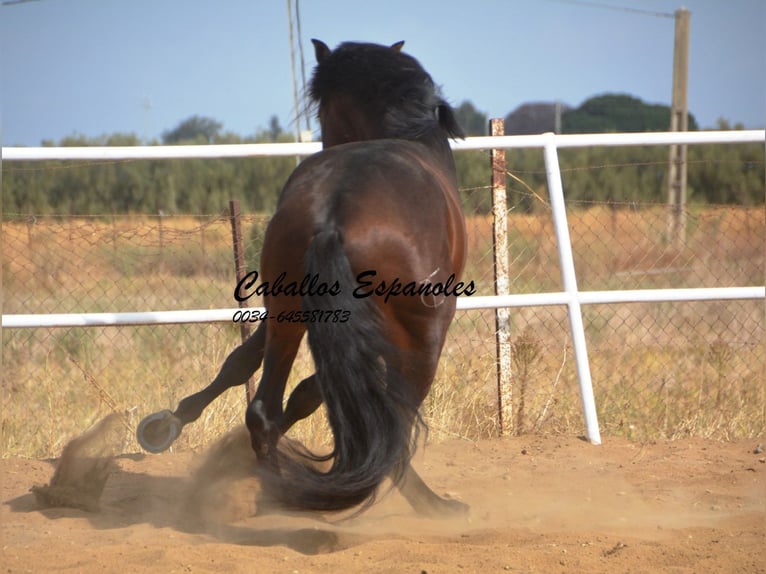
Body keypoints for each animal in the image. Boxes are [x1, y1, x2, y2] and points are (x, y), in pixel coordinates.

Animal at [140, 40, 474, 516]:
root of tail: (335, 212)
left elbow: (243, 362)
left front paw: (169, 425)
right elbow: (317, 394)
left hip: (289, 313)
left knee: (263, 408)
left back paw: (272, 485)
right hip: (420, 340)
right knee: (391, 415)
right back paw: (427, 503)